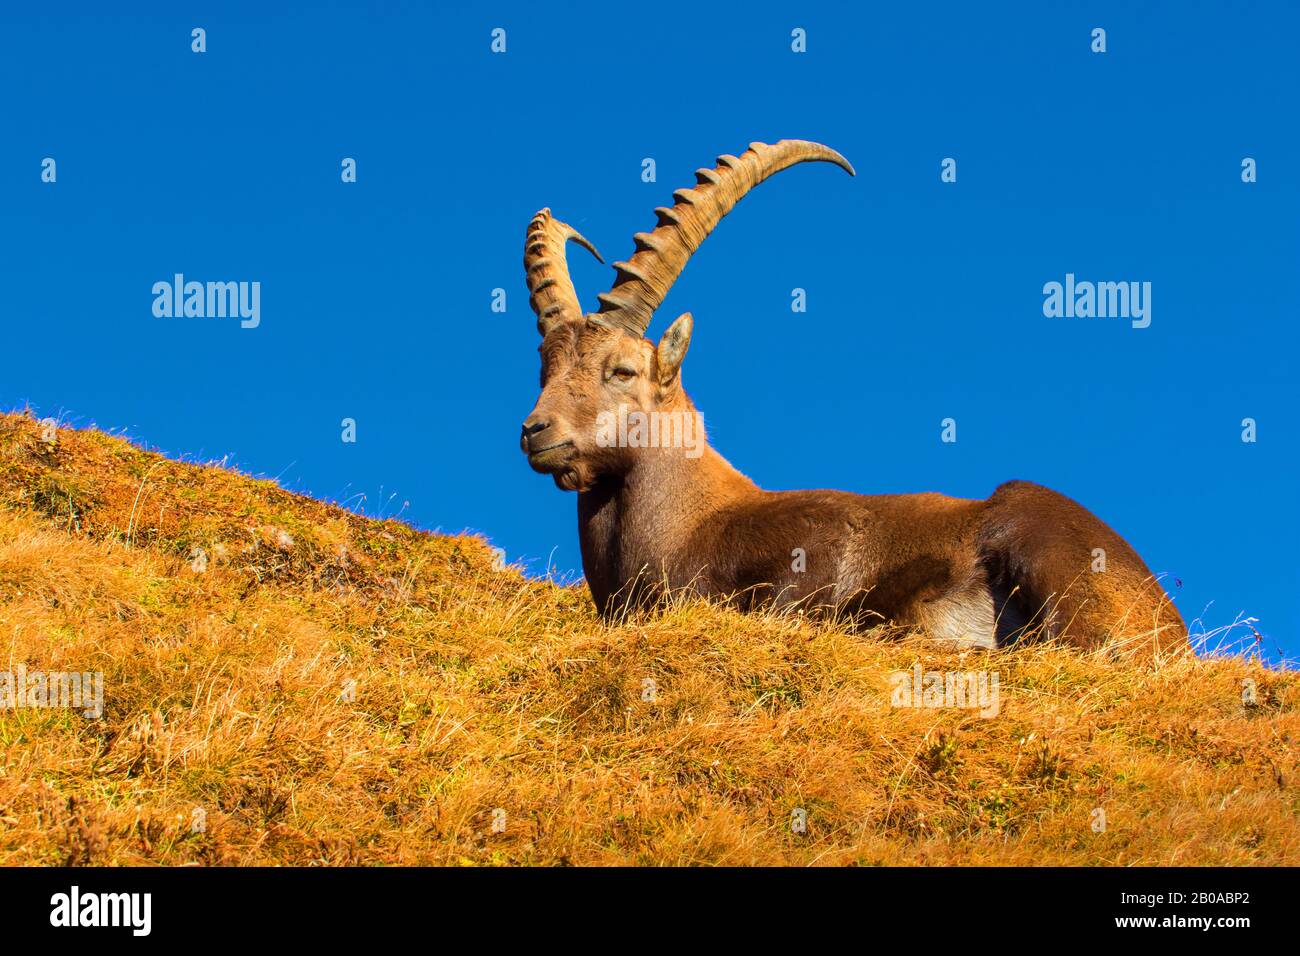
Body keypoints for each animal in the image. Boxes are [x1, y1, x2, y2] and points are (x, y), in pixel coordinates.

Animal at [520, 139, 1186, 653]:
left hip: (1034, 535)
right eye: (544, 368)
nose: (535, 431)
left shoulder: (810, 553)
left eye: (622, 370)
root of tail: (1166, 621)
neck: (685, 522)